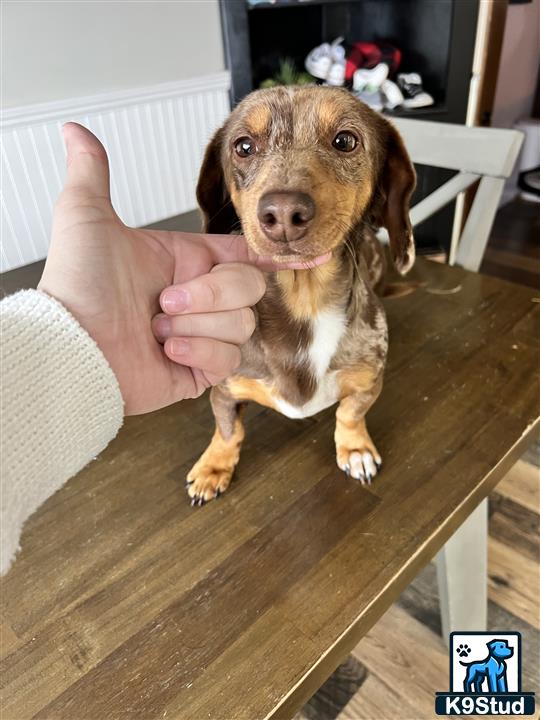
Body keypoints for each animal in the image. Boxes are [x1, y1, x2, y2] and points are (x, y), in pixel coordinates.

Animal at [188, 86, 416, 506]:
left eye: (345, 140)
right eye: (243, 146)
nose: (282, 213)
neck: (305, 299)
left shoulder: (367, 382)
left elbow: (350, 414)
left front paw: (354, 448)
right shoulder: (225, 391)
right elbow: (229, 431)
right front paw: (213, 466)